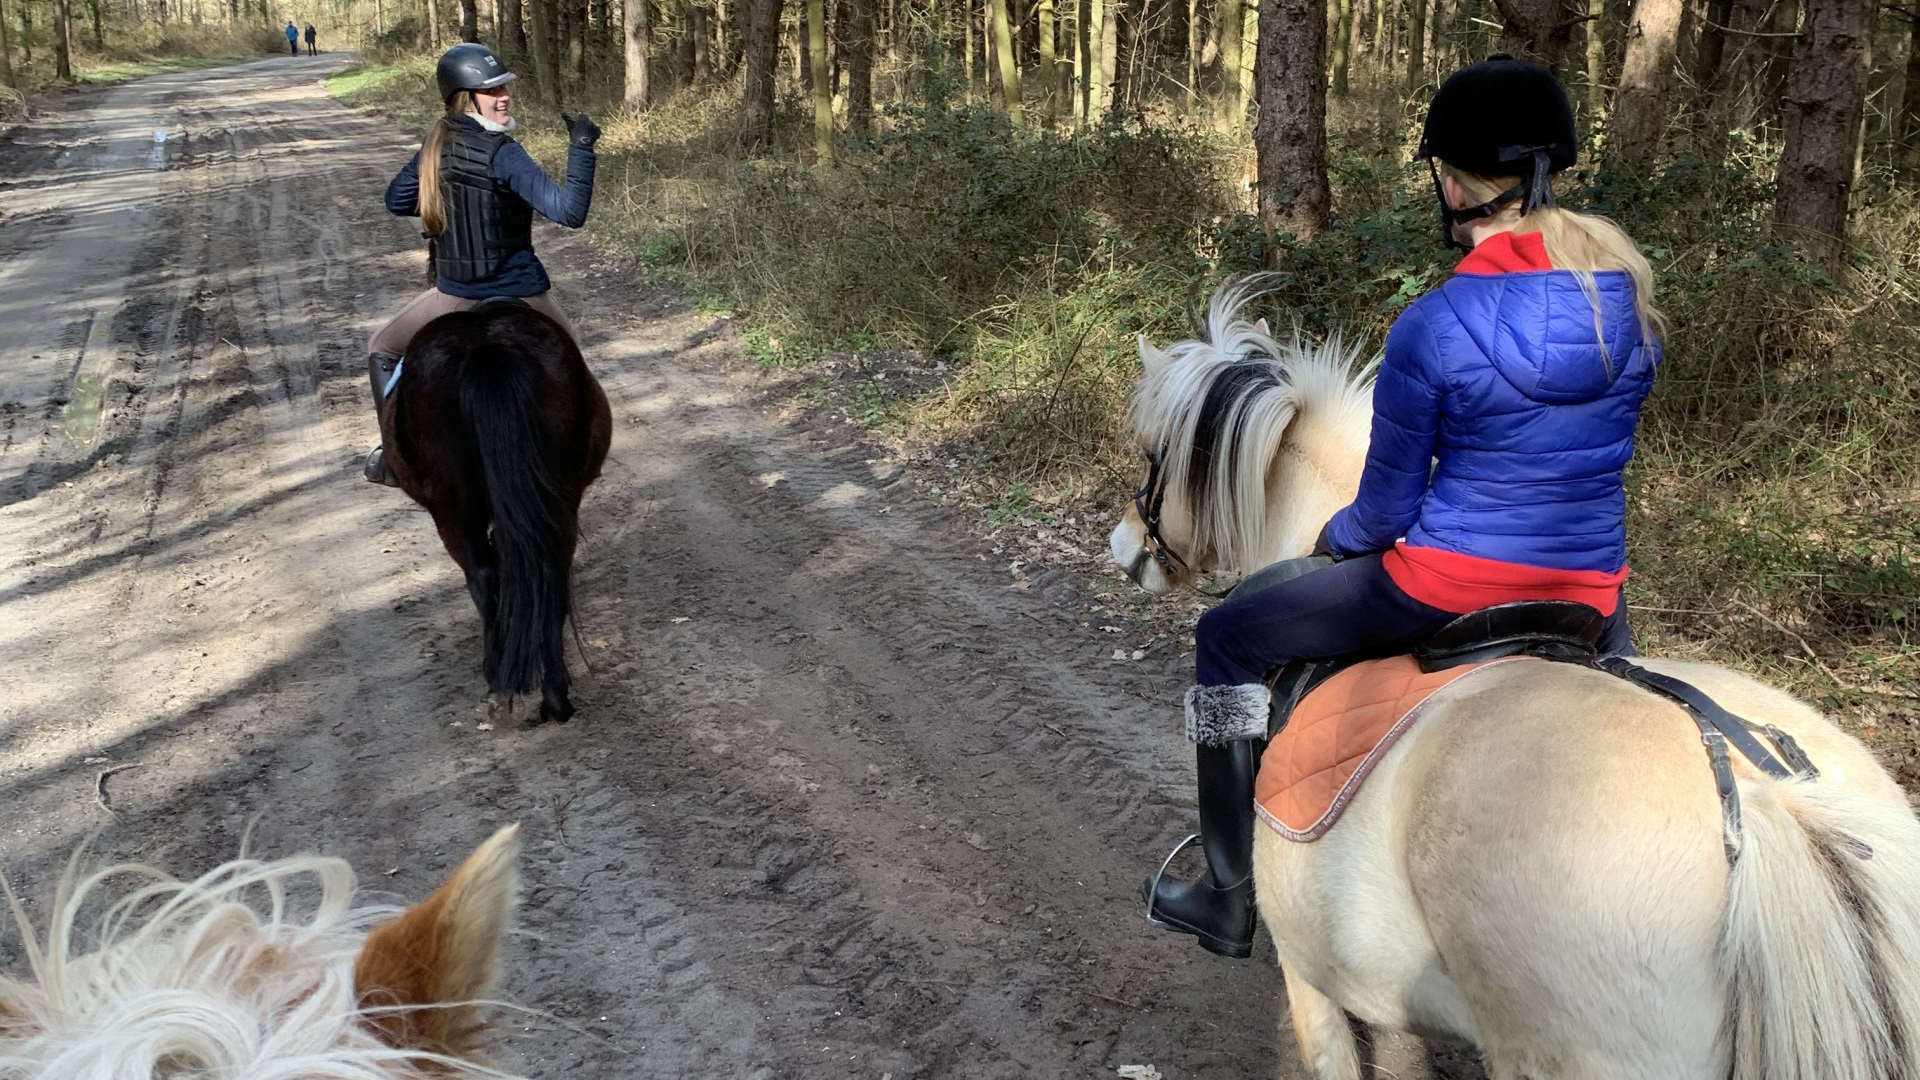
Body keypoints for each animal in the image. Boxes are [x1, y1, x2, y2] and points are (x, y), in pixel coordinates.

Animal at [380, 297, 606, 722]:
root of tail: (486, 347)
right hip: (559, 497)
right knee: (546, 567)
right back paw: (554, 695)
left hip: (451, 511)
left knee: (482, 576)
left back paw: (500, 680)